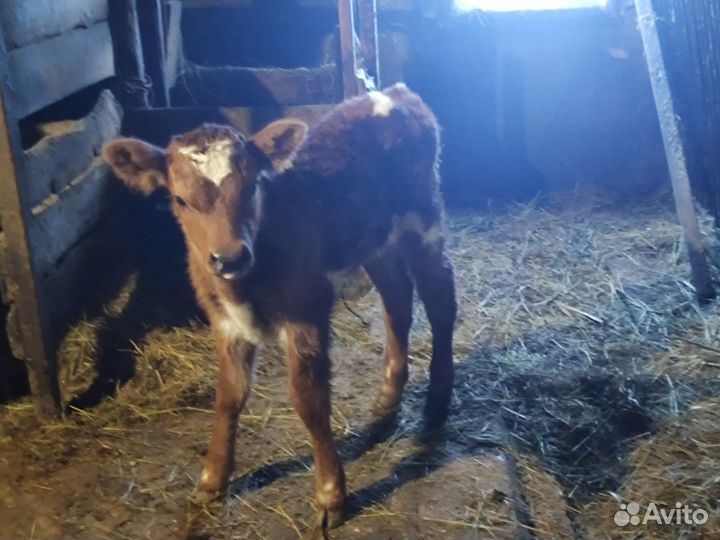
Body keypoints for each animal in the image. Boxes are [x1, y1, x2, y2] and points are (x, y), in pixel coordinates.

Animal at [102, 83, 456, 531]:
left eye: (253, 187)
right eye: (180, 200)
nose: (229, 258)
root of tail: (391, 93)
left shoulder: (306, 311)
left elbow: (309, 400)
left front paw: (330, 494)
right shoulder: (226, 323)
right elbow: (228, 395)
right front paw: (212, 481)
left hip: (422, 219)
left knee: (440, 297)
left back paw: (439, 396)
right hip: (374, 238)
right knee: (397, 297)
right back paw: (389, 393)